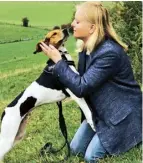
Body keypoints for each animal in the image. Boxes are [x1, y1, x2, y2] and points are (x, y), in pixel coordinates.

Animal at [0, 27, 95, 160]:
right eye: (54, 33)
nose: (67, 29)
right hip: (8, 137)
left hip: (17, 135)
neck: (61, 58)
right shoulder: (76, 94)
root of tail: (5, 111)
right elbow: (88, 113)